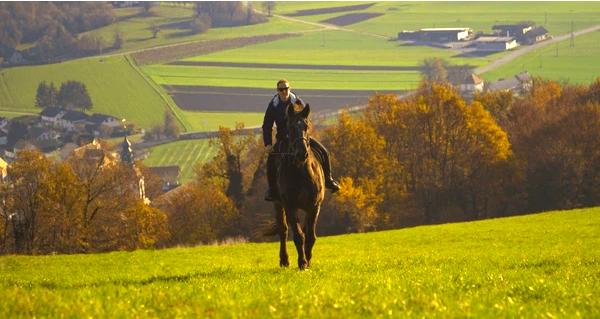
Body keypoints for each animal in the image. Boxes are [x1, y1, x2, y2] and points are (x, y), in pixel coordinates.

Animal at [274, 100, 326, 270]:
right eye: (290, 128)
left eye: (306, 126)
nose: (302, 153)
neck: (300, 170)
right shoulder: (290, 206)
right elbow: (298, 235)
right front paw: (302, 262)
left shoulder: (314, 206)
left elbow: (310, 236)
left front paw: (308, 261)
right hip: (278, 203)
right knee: (283, 230)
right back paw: (284, 260)